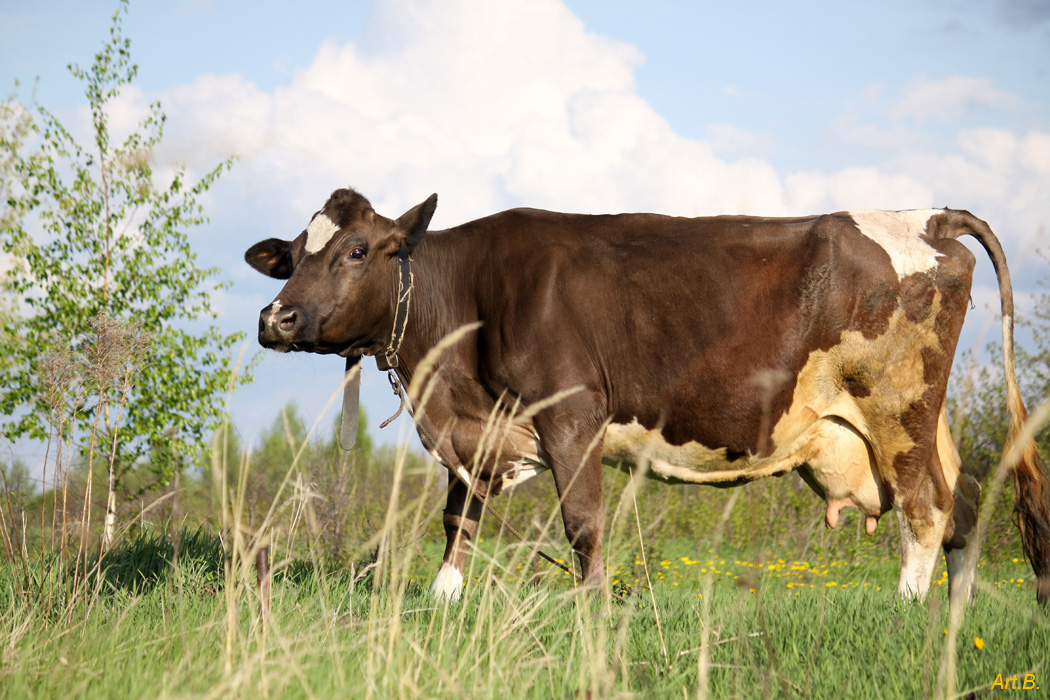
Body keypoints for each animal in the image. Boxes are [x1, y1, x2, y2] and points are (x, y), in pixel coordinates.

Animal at [247, 187, 1050, 608]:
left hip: (897, 407)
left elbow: (583, 523)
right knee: (965, 502)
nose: (274, 318)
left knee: (926, 506)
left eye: (357, 250)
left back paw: (908, 607)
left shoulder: (571, 414)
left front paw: (592, 608)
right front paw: (445, 597)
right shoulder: (477, 432)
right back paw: (952, 617)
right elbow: (457, 514)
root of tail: (925, 215)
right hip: (919, 418)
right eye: (292, 254)